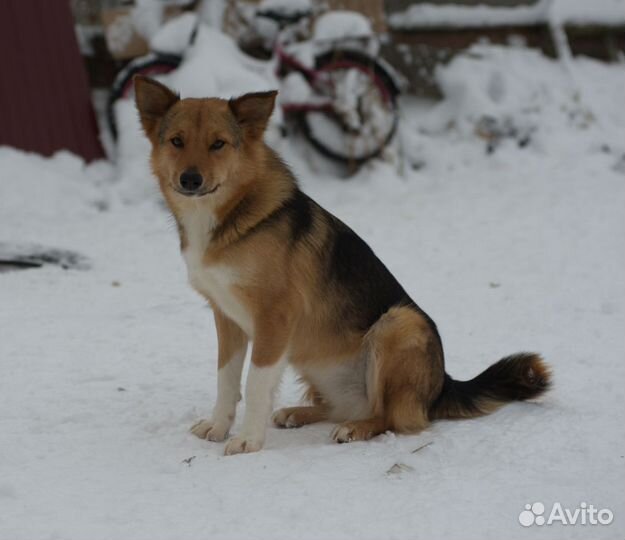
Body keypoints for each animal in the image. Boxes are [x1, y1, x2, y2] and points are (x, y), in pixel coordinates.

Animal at [134, 75, 548, 456]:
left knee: (396, 418)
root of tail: (442, 386)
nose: (190, 179)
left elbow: (254, 384)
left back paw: (357, 428)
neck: (230, 216)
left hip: (398, 324)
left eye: (218, 144)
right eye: (176, 141)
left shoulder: (274, 317)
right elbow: (226, 379)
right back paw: (299, 413)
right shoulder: (227, 317)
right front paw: (219, 426)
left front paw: (248, 440)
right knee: (339, 406)